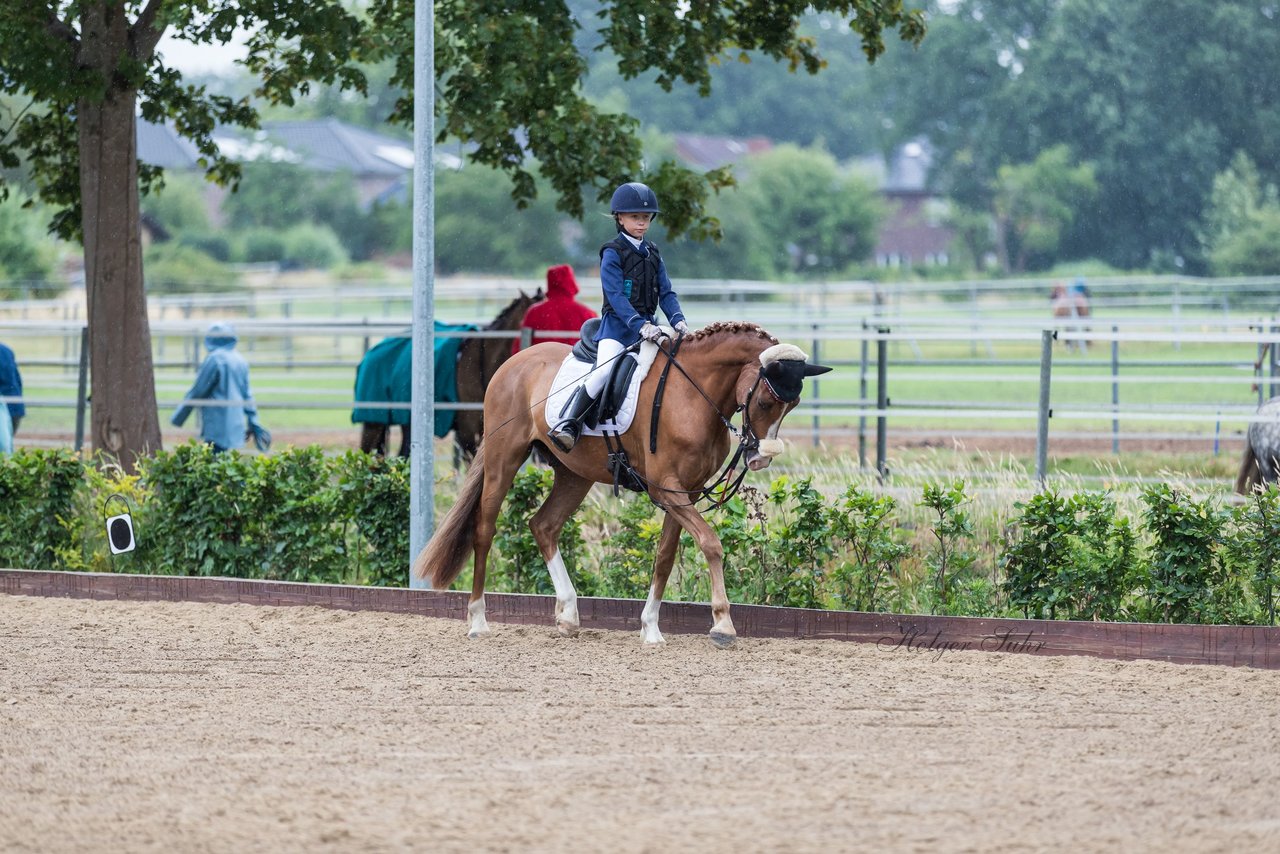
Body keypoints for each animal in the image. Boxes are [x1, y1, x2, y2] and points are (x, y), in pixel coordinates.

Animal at [409, 320, 829, 647]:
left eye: (791, 406)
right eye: (765, 402)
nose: (760, 458)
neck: (693, 393)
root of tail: (513, 362)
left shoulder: (686, 492)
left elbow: (664, 557)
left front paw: (651, 629)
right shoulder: (667, 488)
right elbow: (711, 543)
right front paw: (723, 624)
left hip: (574, 475)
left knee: (543, 526)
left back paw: (568, 616)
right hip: (504, 460)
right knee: (484, 530)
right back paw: (479, 621)